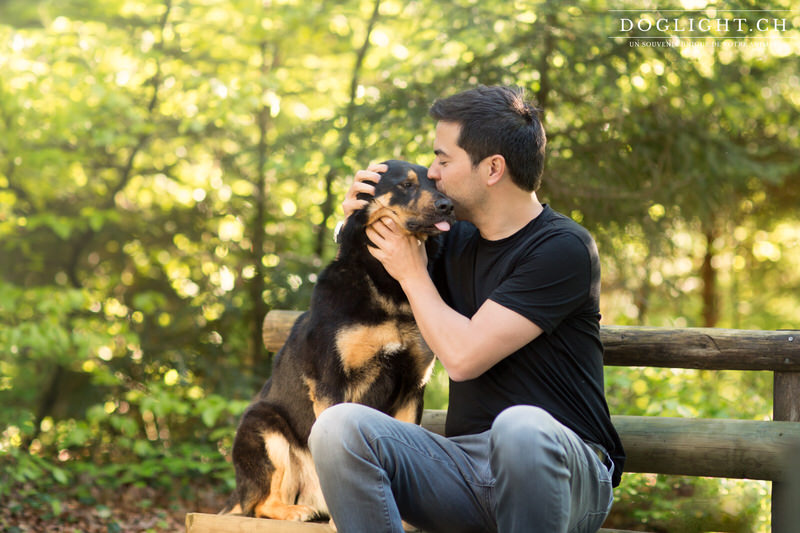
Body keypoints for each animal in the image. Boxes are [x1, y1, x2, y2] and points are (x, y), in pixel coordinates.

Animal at [222, 161, 454, 520]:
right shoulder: (333, 383)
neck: (388, 285)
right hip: (263, 428)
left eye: (437, 182)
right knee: (261, 504)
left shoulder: (412, 388)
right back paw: (293, 511)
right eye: (406, 185)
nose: (449, 205)